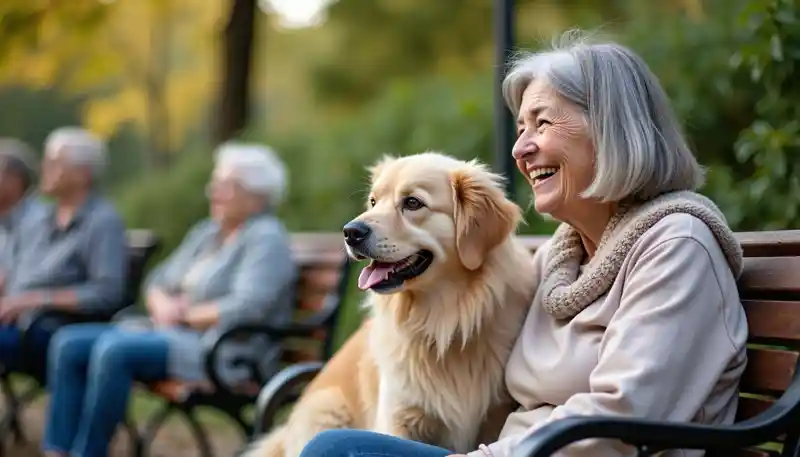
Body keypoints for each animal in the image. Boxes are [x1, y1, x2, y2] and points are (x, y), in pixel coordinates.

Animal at [242, 153, 532, 456]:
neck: (443, 320)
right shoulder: (399, 416)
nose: (350, 232)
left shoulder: (495, 415)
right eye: (373, 201)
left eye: (413, 203)